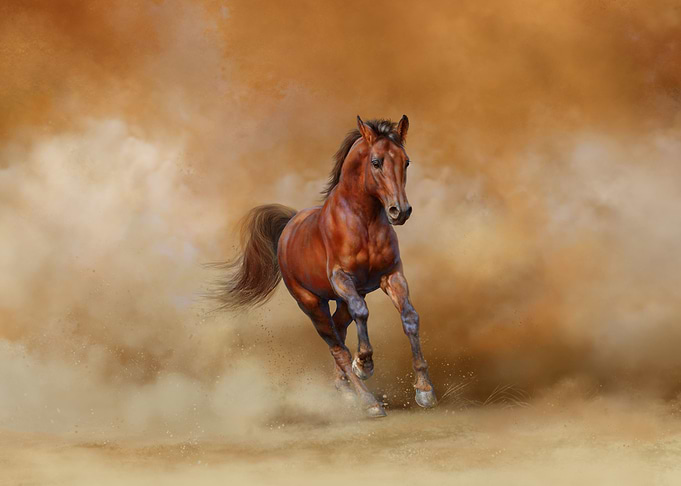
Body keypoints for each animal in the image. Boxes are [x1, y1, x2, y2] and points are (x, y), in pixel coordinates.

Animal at [213, 116, 436, 417]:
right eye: (376, 162)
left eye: (406, 161)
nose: (399, 211)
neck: (363, 222)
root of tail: (290, 223)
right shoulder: (342, 279)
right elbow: (361, 314)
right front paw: (364, 365)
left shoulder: (392, 276)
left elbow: (410, 317)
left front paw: (425, 391)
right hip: (311, 303)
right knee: (336, 346)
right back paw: (368, 401)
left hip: (339, 302)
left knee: (339, 333)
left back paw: (346, 391)